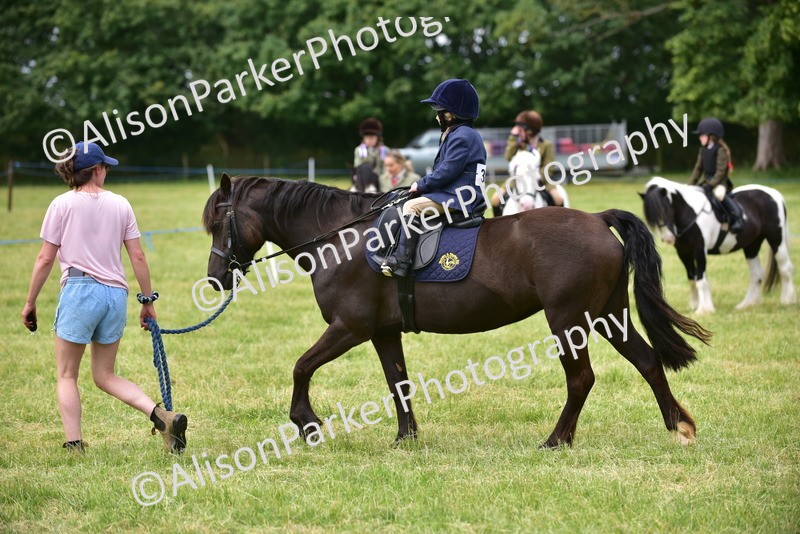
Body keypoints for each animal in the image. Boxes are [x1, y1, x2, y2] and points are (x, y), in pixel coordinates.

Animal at [203, 174, 711, 448]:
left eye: (218, 224)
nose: (214, 280)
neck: (339, 237)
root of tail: (597, 219)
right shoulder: (383, 331)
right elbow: (398, 382)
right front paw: (406, 438)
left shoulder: (349, 327)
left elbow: (301, 366)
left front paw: (307, 423)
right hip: (607, 316)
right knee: (648, 361)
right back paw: (680, 426)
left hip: (568, 321)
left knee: (581, 379)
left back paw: (556, 440)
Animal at [640, 176, 797, 314]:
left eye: (666, 209)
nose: (668, 238)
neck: (690, 213)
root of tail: (774, 193)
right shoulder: (683, 253)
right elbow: (691, 279)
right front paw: (693, 305)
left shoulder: (699, 251)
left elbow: (700, 279)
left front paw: (704, 309)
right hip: (752, 245)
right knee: (756, 274)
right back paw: (747, 304)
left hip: (776, 239)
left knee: (785, 268)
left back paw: (786, 301)